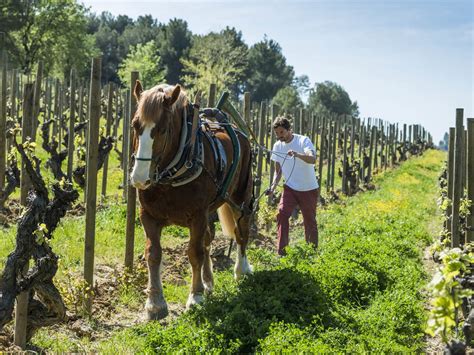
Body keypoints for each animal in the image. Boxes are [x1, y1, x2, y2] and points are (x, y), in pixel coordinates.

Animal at [130, 82, 254, 322]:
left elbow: (194, 253)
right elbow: (153, 254)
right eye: (135, 125)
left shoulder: (197, 216)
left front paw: (195, 298)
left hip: (241, 196)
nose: (139, 178)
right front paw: (155, 303)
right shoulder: (148, 215)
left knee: (241, 231)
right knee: (207, 240)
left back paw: (241, 269)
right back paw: (208, 282)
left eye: (163, 129)